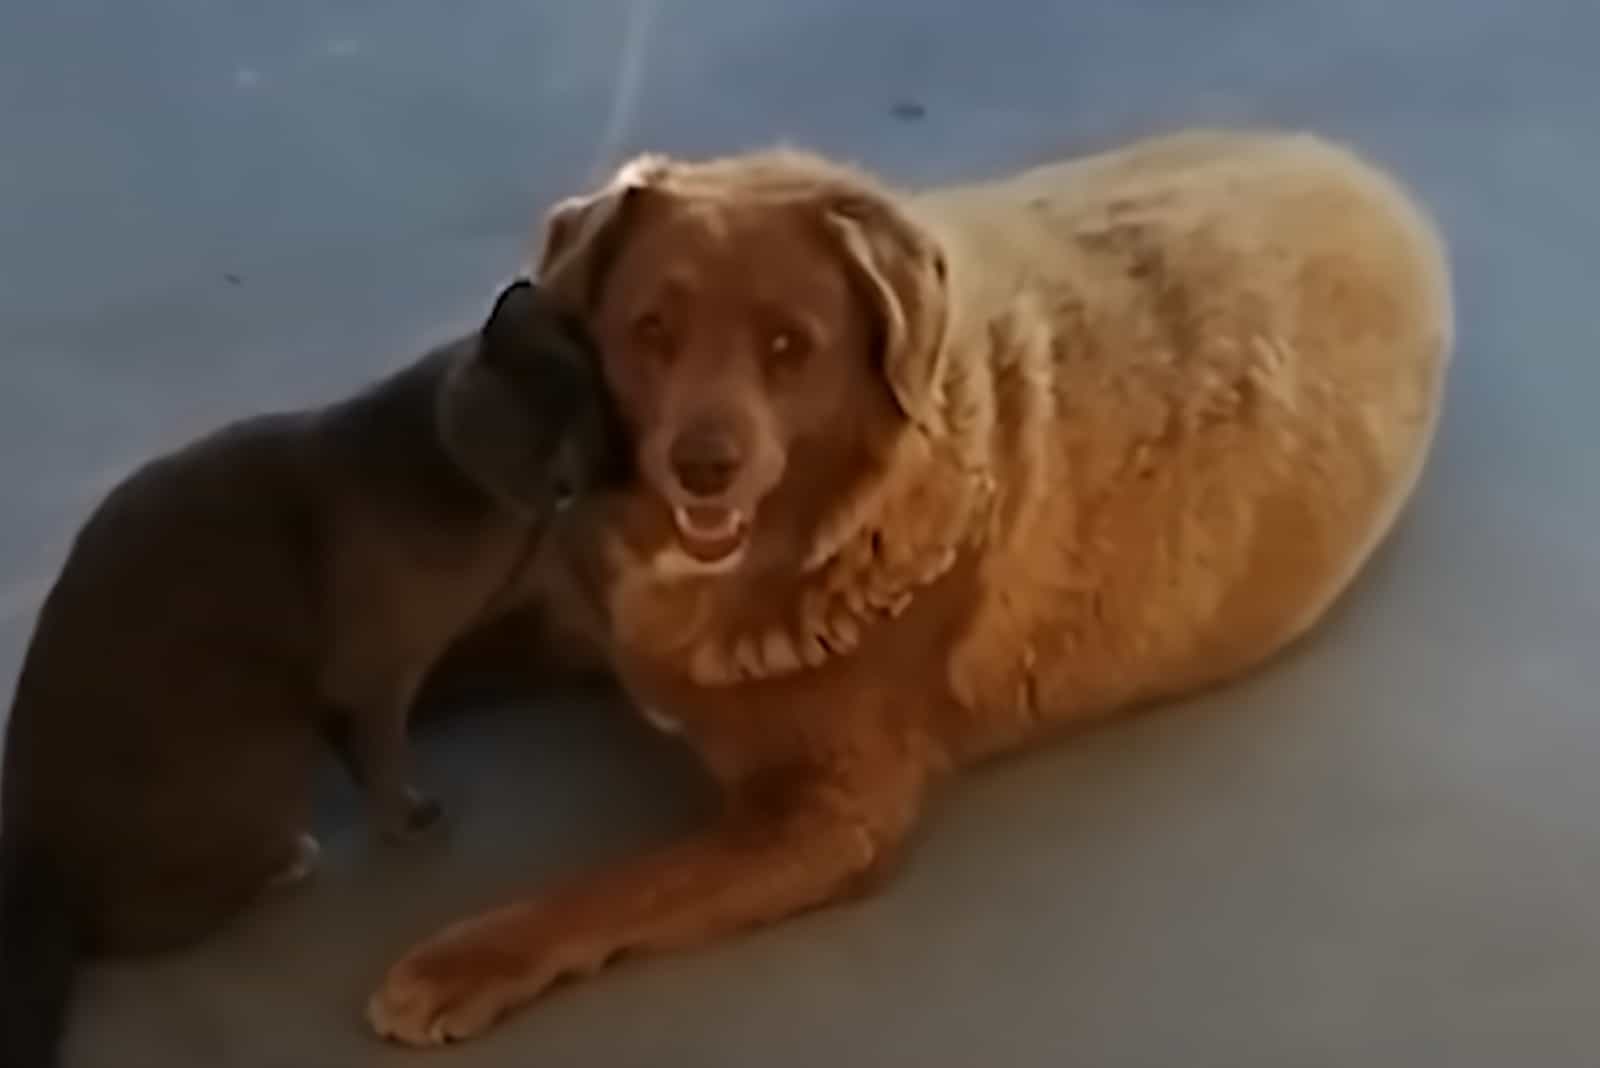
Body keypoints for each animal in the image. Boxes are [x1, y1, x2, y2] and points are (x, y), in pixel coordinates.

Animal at [0, 279, 620, 1061]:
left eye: (595, 424)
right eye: (544, 419)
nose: (573, 476)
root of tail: (29, 854)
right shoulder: (377, 674)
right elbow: (382, 752)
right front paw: (409, 818)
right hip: (254, 751)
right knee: (136, 930)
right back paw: (289, 858)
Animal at [368, 131, 1459, 1042]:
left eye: (787, 345)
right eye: (652, 330)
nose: (702, 467)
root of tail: (1371, 178)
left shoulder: (827, 818)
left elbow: (616, 886)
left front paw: (464, 960)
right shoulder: (575, 621)